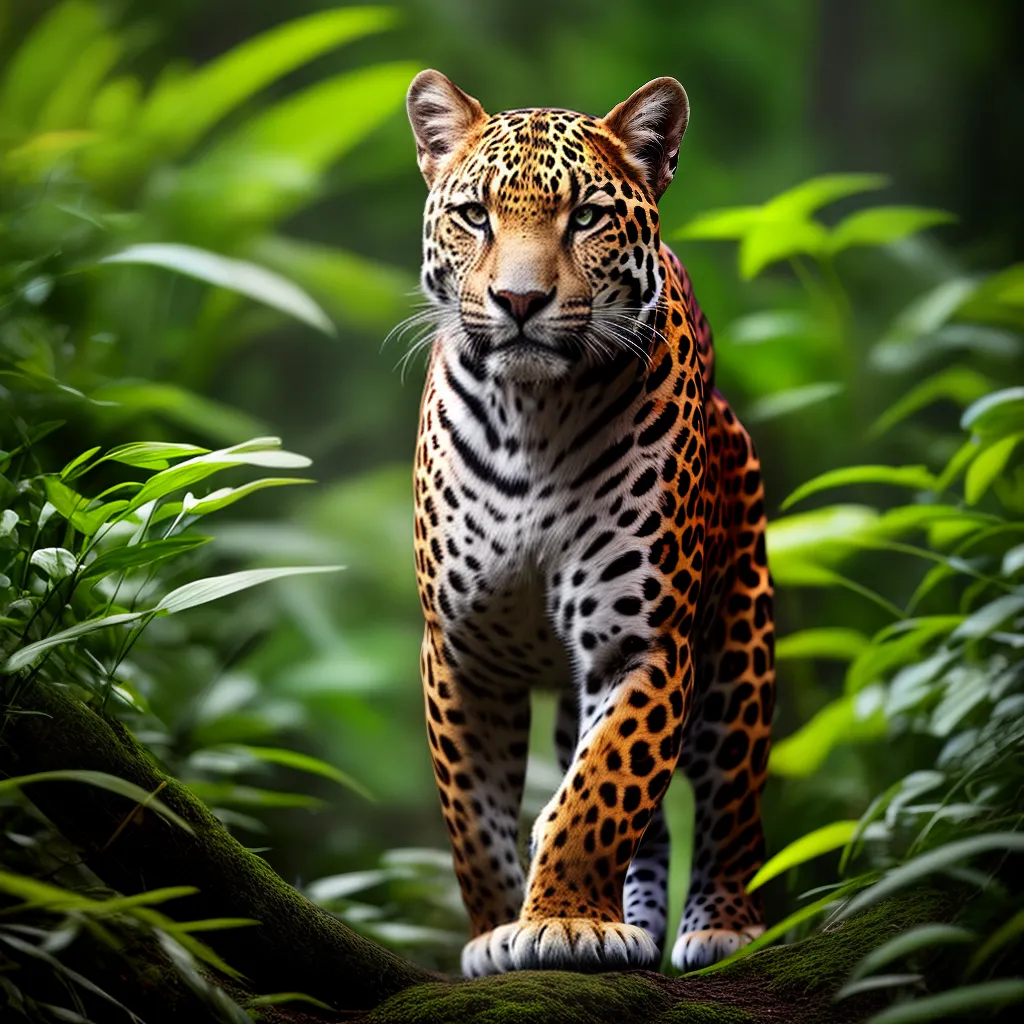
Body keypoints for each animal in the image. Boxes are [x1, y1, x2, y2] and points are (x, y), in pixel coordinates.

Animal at [405, 69, 774, 978]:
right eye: (476, 215)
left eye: (586, 217)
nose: (519, 300)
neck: (532, 416)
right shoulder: (462, 653)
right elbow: (474, 817)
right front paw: (494, 932)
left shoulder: (642, 643)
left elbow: (601, 793)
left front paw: (568, 920)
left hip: (740, 648)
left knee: (731, 798)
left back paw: (719, 923)